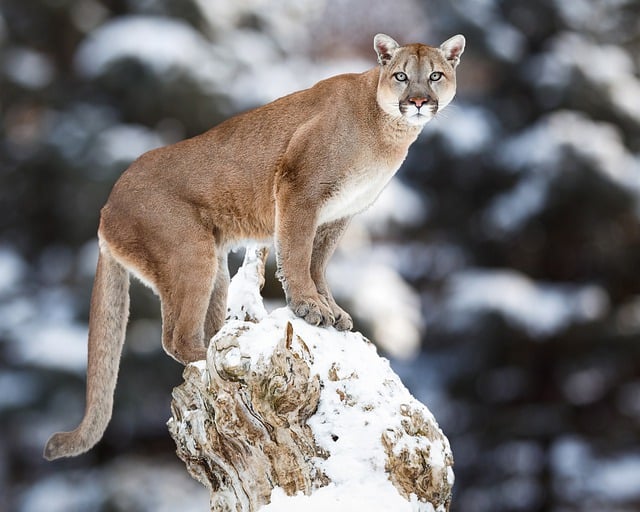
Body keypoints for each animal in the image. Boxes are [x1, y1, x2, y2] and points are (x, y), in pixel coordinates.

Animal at [46, 31, 464, 460]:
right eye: (401, 76)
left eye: (434, 76)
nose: (418, 101)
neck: (385, 128)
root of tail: (106, 207)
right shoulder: (300, 191)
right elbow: (296, 255)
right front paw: (308, 307)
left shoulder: (337, 216)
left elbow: (318, 264)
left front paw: (331, 309)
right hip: (191, 254)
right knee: (175, 337)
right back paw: (212, 360)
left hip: (215, 269)